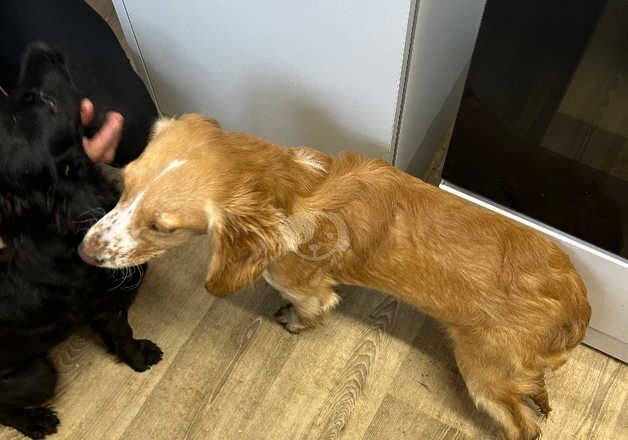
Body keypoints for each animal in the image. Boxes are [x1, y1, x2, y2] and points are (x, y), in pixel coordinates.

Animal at [0, 44, 162, 440]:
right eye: (41, 100)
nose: (39, 47)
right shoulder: (109, 307)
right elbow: (124, 333)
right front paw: (139, 358)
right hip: (38, 373)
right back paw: (37, 421)